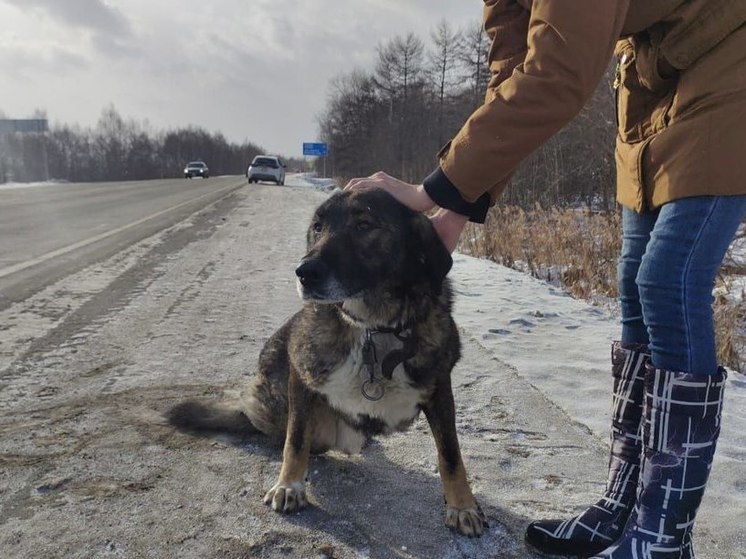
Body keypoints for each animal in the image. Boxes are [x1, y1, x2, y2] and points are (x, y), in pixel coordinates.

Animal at [166, 188, 486, 540]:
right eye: (317, 227)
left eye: (364, 224)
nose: (305, 272)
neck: (372, 327)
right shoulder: (300, 374)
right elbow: (295, 440)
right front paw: (289, 485)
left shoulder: (439, 389)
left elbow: (450, 454)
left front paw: (462, 505)